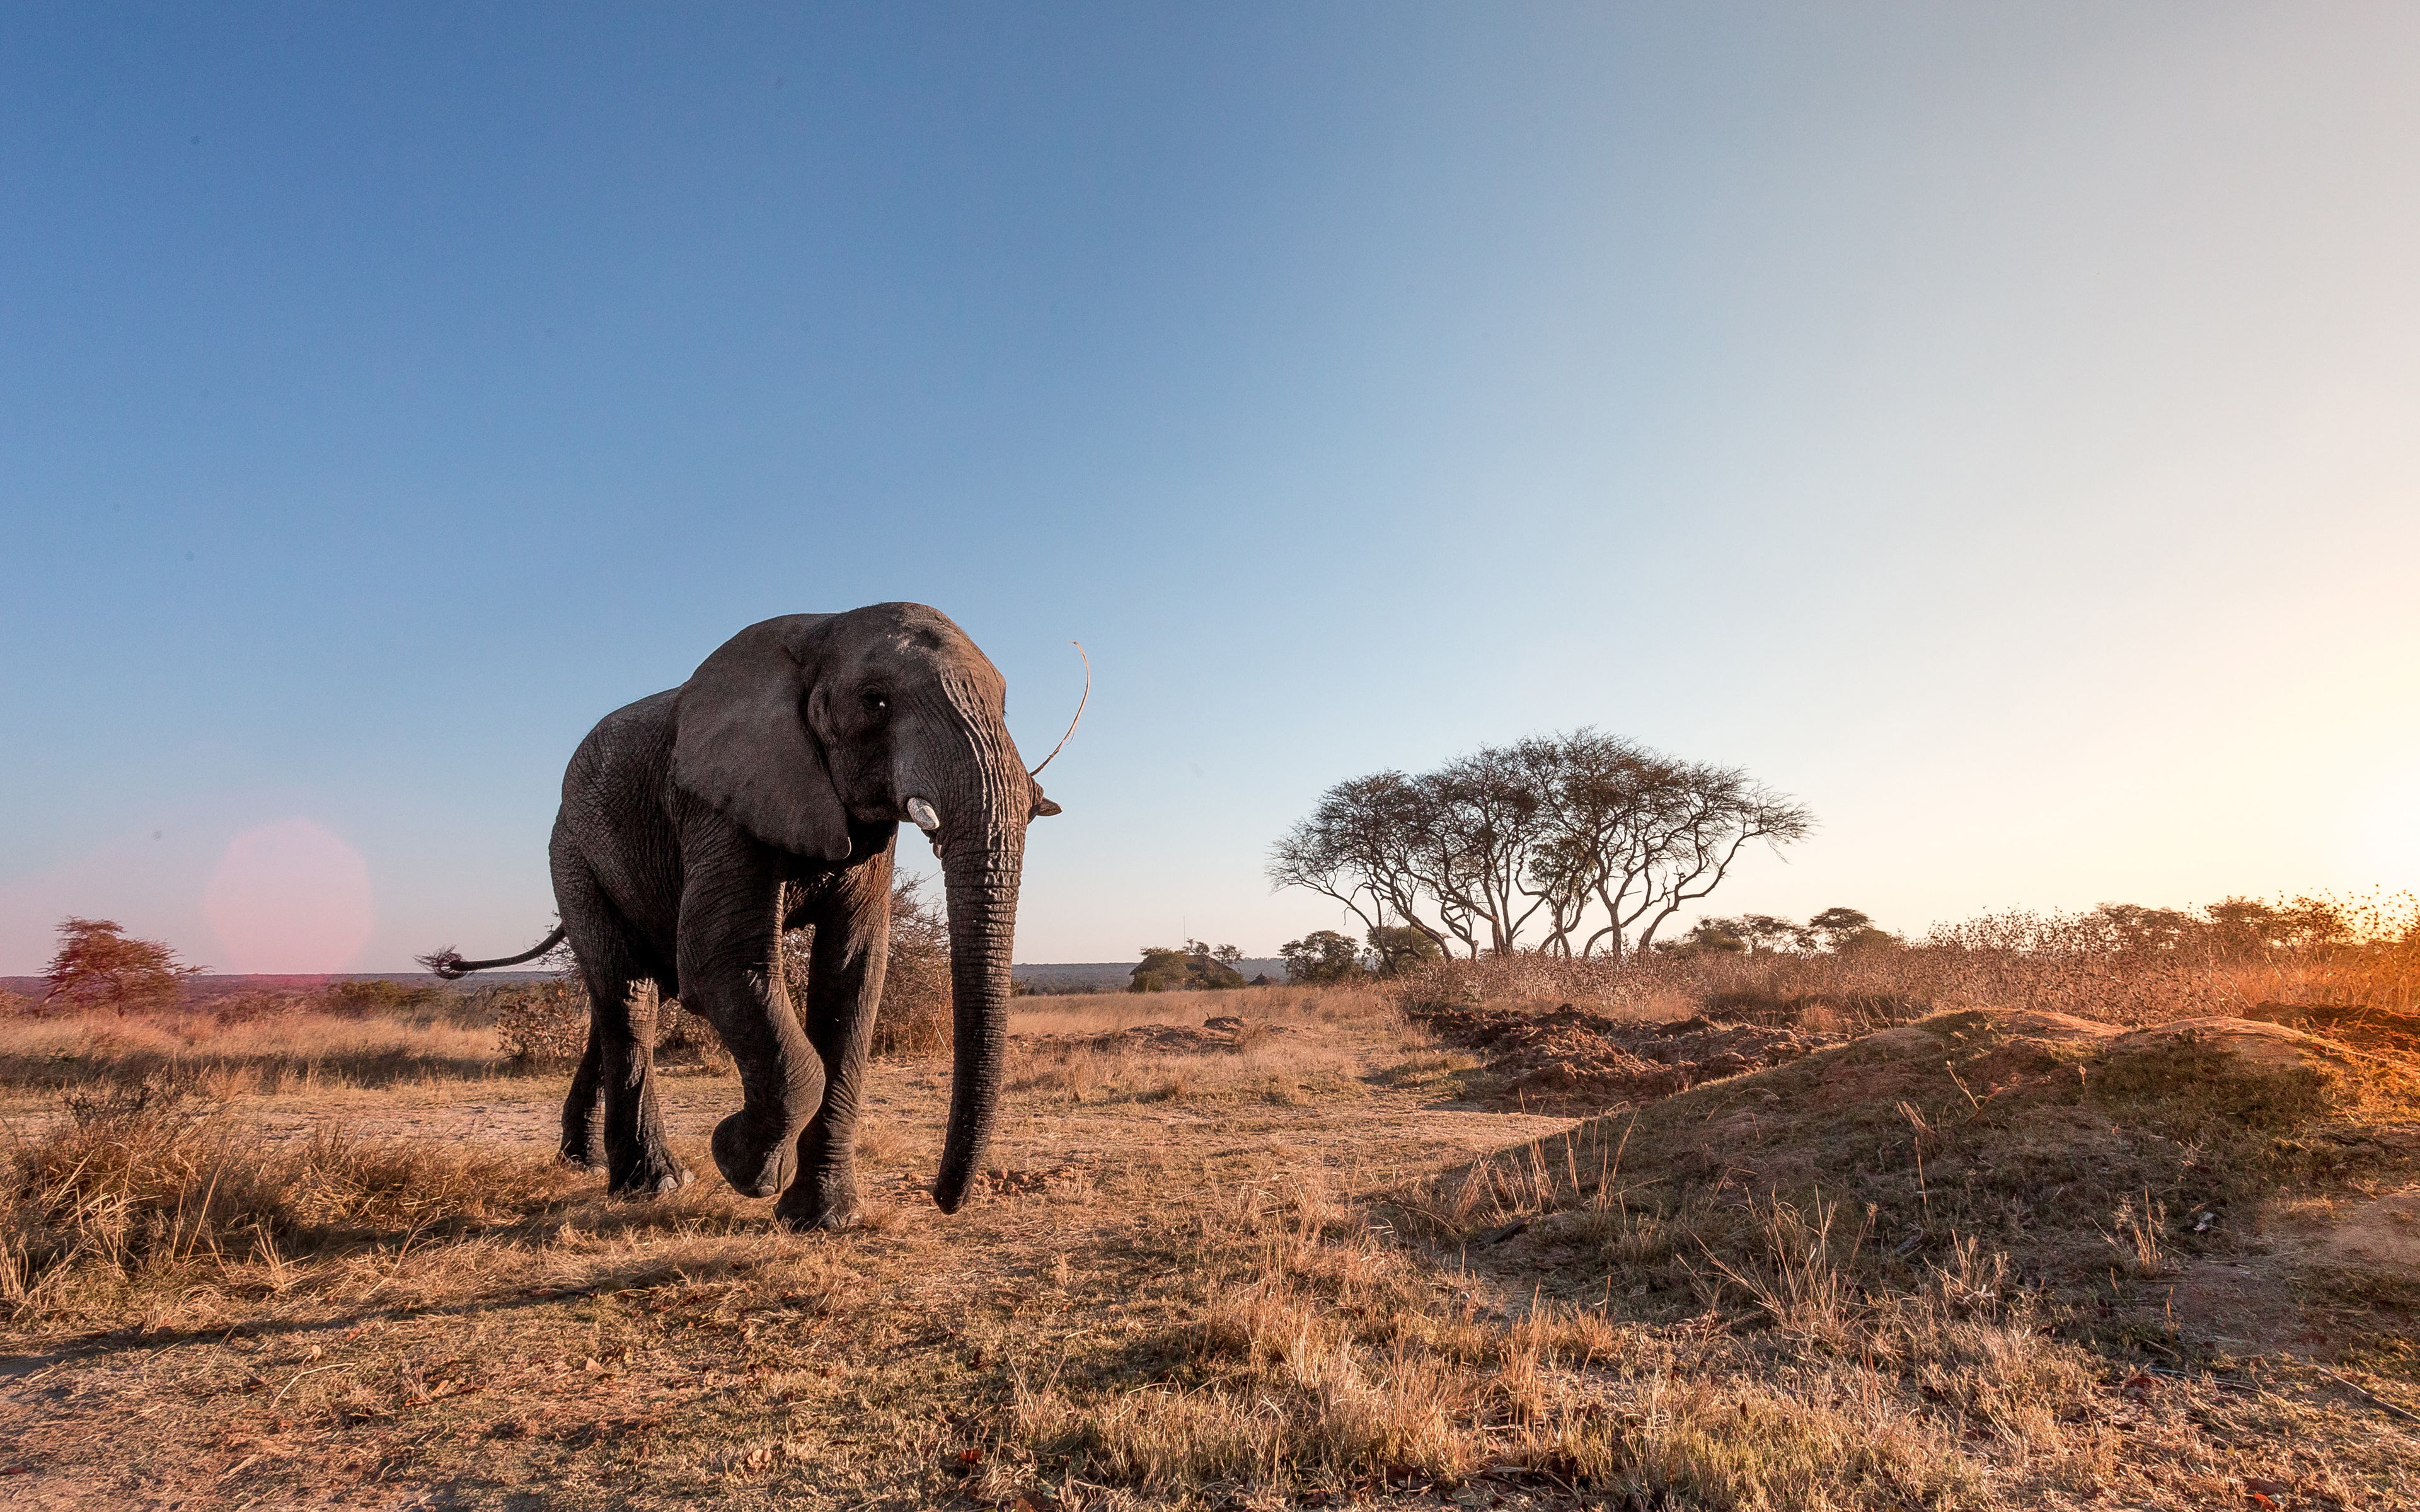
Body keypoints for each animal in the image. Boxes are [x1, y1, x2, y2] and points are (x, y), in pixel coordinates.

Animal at [423, 603, 1062, 1229]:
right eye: (874, 702)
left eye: (1005, 707)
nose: (943, 1198)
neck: (824, 628)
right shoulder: (715, 802)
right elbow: (720, 958)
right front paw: (740, 1163)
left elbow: (852, 975)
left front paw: (822, 1221)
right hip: (574, 858)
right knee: (628, 994)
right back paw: (652, 1185)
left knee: (623, 999)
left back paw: (585, 1163)